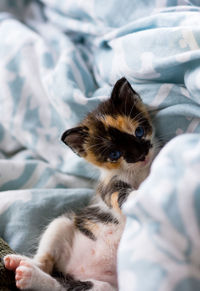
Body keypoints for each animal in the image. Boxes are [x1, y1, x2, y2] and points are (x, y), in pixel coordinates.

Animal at [2, 77, 156, 291]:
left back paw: (24, 269)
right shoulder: (109, 187)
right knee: (46, 264)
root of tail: (74, 271)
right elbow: (122, 196)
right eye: (114, 154)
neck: (139, 172)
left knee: (63, 284)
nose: (141, 155)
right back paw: (25, 268)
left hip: (104, 286)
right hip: (61, 224)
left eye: (139, 132)